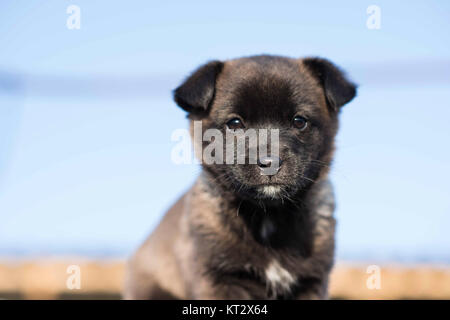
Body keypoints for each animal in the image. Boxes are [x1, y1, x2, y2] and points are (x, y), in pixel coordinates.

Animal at [123, 55, 356, 300]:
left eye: (299, 121)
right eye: (234, 123)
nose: (270, 163)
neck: (268, 217)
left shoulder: (311, 281)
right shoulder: (218, 278)